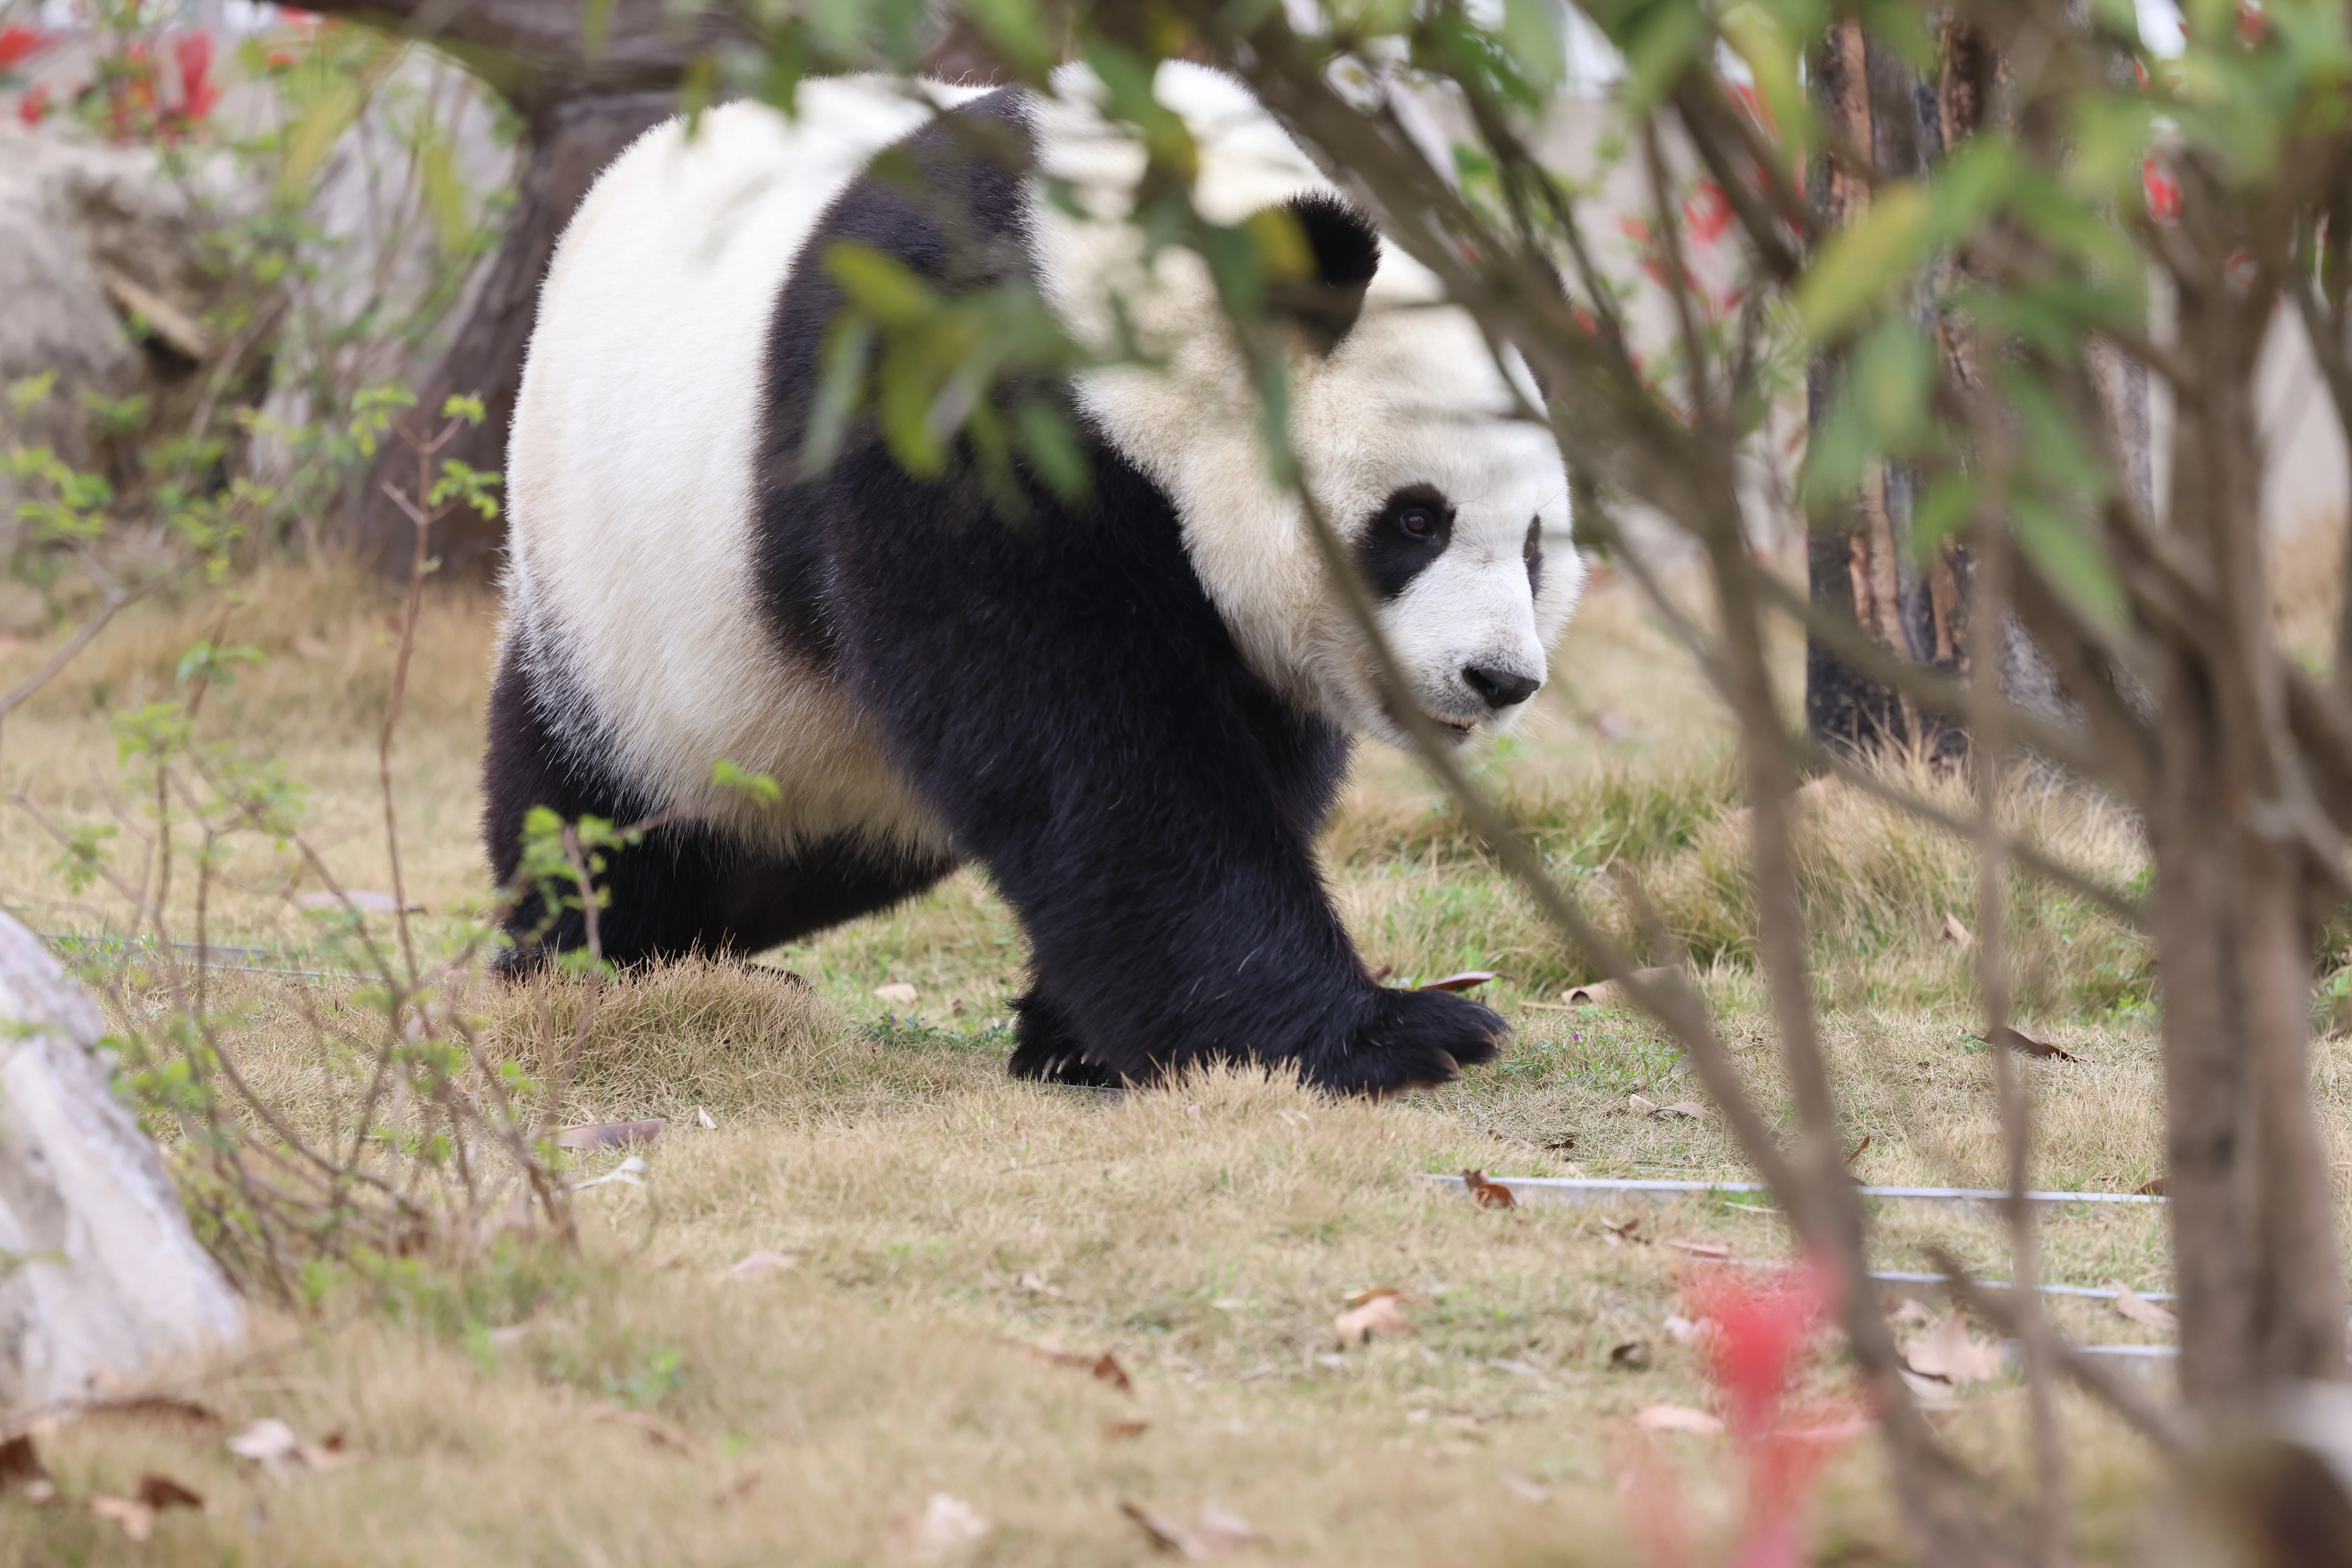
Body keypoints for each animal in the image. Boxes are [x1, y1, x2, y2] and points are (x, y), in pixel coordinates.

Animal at [486, 62, 1583, 1094]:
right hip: (620, 603)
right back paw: (588, 965)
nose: (1499, 678)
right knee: (586, 804)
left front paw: (1079, 1039)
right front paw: (1388, 1034)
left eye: (1535, 546)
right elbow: (1090, 751)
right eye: (1416, 519)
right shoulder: (958, 397)